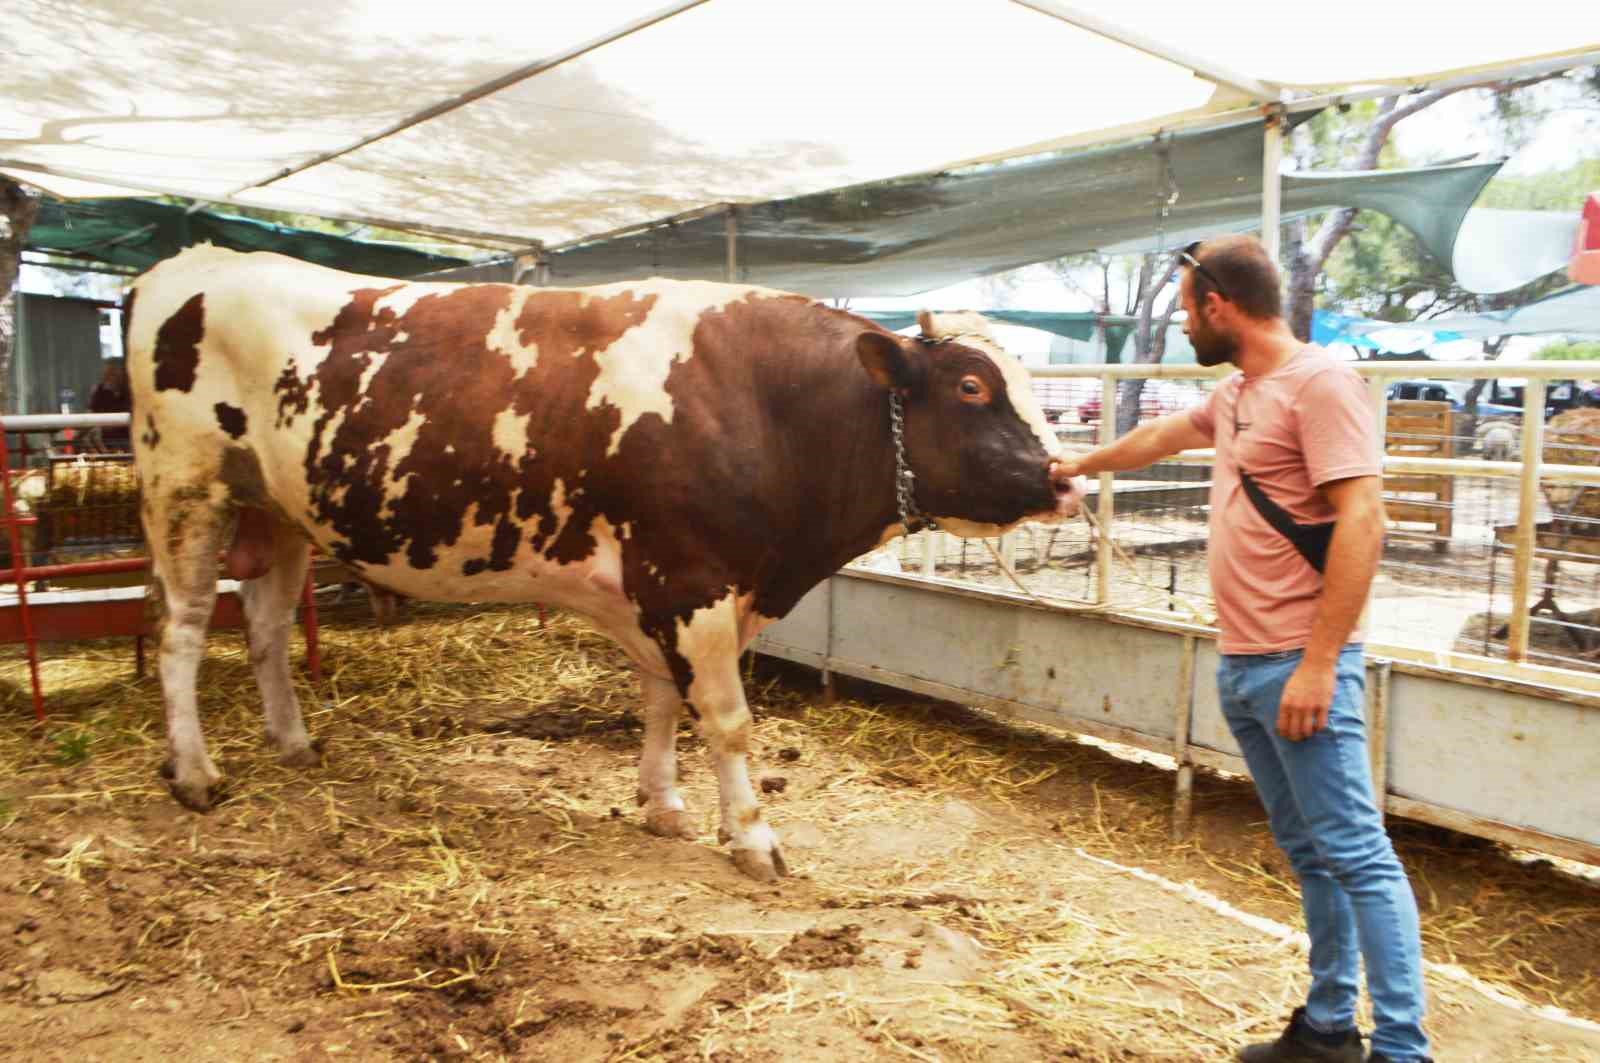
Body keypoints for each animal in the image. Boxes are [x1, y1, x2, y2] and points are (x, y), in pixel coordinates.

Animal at [121, 246, 1075, 877]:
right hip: (185, 486)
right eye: (972, 386)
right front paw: (753, 835)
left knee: (268, 626)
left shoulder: (662, 587)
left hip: (277, 507)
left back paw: (291, 741)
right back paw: (196, 771)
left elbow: (660, 699)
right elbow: (726, 718)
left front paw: (664, 803)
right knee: (182, 631)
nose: (1064, 479)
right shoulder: (692, 581)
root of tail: (191, 262)